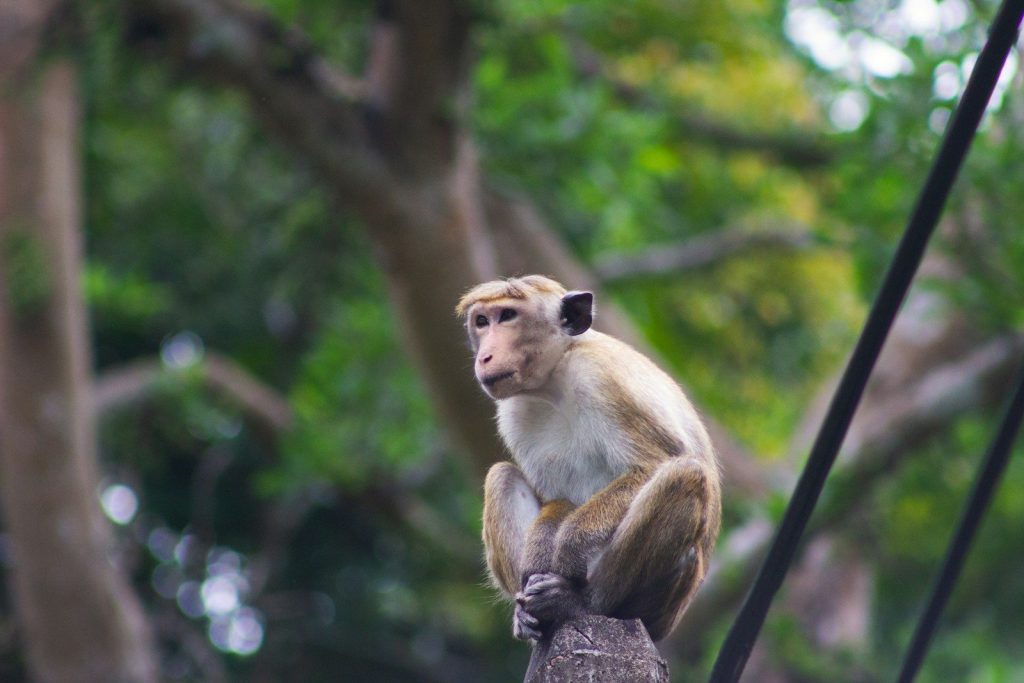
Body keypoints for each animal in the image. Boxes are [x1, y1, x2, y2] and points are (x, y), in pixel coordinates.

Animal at [455, 275, 721, 643]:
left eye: (507, 316)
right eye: (482, 321)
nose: (485, 356)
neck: (556, 378)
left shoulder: (602, 379)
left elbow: (652, 465)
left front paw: (569, 547)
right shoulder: (513, 414)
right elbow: (556, 498)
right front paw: (541, 549)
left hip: (663, 600)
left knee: (685, 475)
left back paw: (583, 602)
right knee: (501, 476)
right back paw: (528, 612)